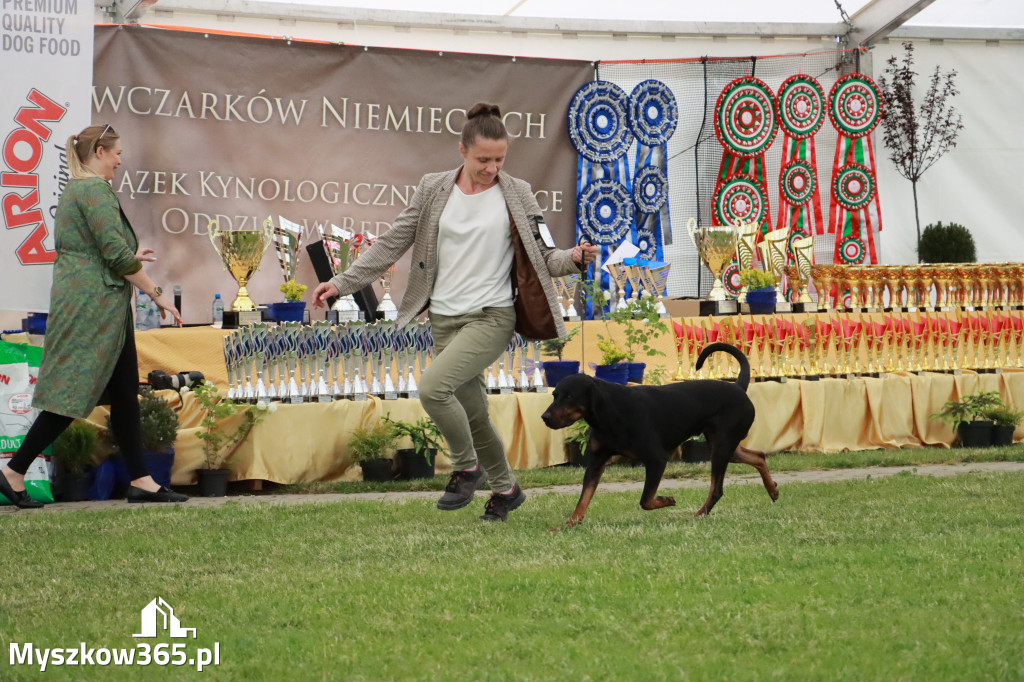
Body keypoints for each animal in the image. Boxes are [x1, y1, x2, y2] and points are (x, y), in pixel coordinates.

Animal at [544, 342, 774, 528]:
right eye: (555, 395)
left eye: (569, 397)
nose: (544, 417)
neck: (609, 412)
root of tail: (739, 387)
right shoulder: (596, 462)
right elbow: (584, 498)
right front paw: (569, 524)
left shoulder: (656, 460)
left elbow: (645, 500)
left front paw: (667, 500)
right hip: (723, 446)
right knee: (758, 456)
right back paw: (773, 490)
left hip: (721, 448)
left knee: (717, 489)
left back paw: (698, 515)